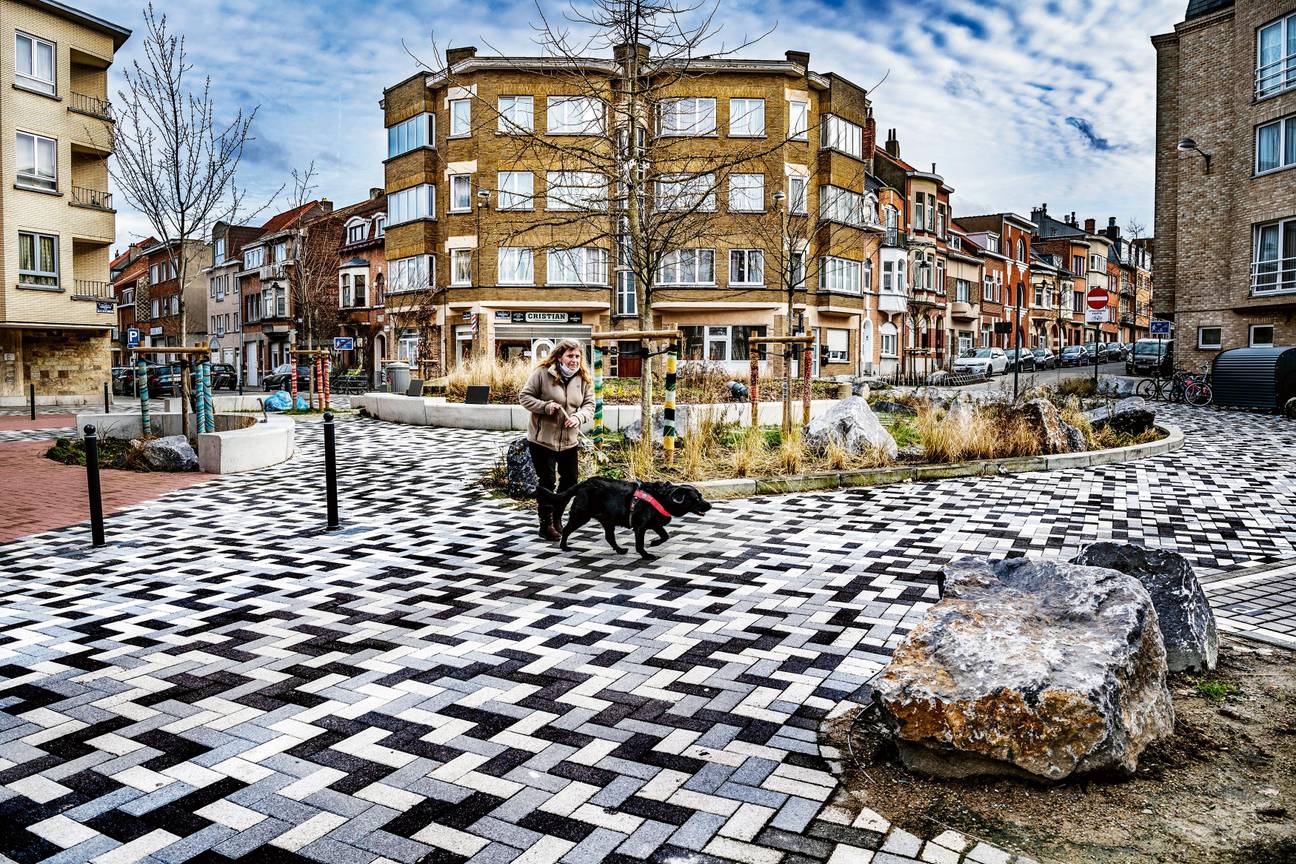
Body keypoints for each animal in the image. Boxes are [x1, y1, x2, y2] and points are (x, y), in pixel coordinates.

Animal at [539, 479, 720, 562]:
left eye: (701, 496)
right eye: (697, 499)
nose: (710, 505)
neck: (662, 498)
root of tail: (584, 483)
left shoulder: (655, 524)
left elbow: (665, 536)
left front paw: (654, 543)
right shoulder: (640, 526)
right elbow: (640, 544)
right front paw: (646, 554)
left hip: (608, 520)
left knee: (609, 537)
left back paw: (620, 550)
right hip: (581, 515)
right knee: (567, 529)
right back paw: (564, 546)